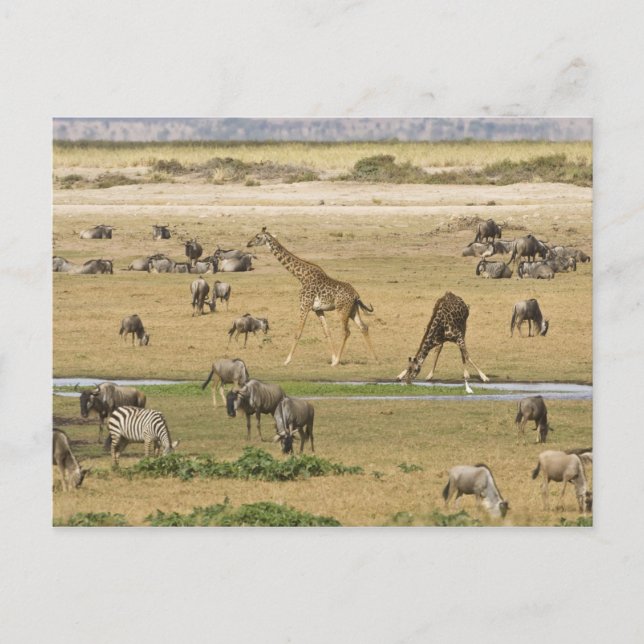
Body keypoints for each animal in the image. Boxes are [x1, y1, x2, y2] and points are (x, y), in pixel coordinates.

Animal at [246, 227, 377, 366]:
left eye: (258, 237)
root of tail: (356, 295)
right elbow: (327, 332)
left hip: (342, 310)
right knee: (364, 327)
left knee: (346, 331)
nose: (248, 244)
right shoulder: (317, 310)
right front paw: (333, 357)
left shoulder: (304, 305)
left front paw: (287, 360)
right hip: (352, 310)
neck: (301, 276)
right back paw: (375, 358)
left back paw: (337, 362)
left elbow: (298, 332)